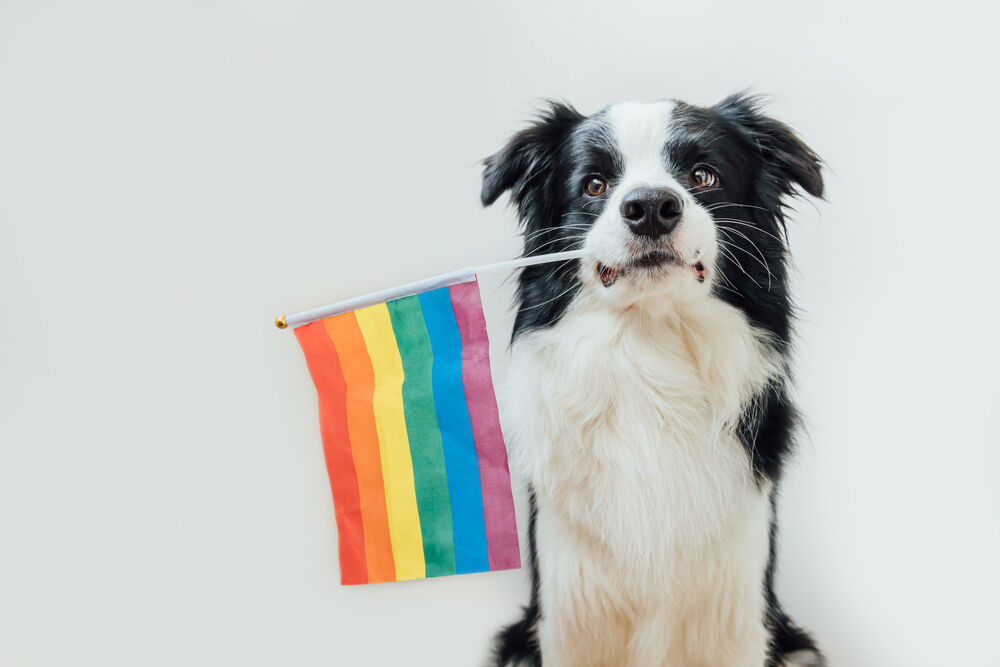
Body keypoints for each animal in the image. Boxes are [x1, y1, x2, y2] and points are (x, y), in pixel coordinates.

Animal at [480, 95, 824, 667]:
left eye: (703, 175)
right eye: (595, 184)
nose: (650, 207)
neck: (650, 351)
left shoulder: (733, 610)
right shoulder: (570, 608)